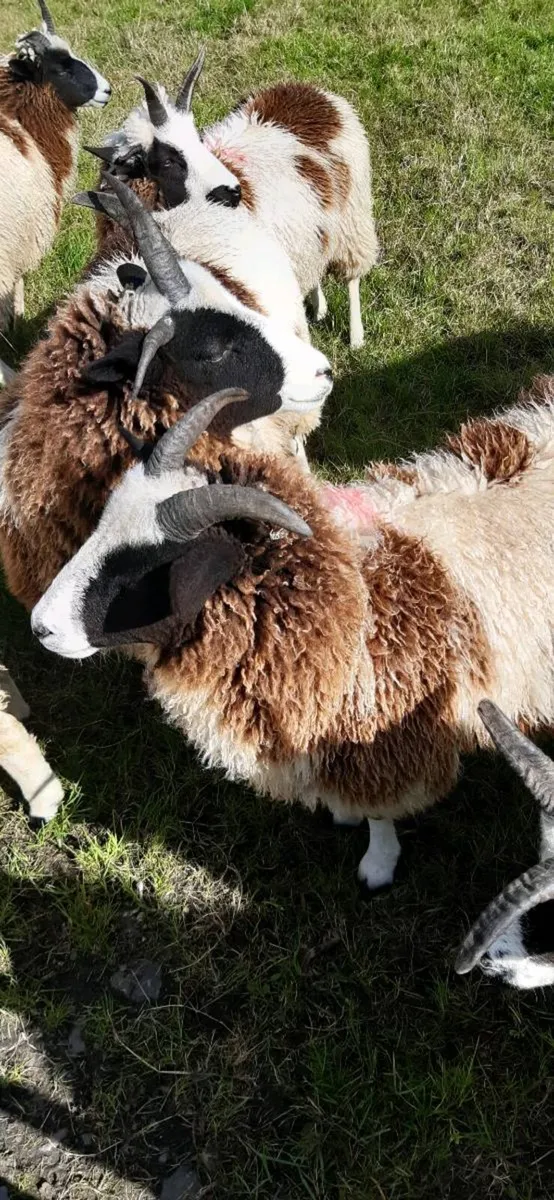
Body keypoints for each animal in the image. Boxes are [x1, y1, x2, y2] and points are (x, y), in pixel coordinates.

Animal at [28, 350, 554, 897]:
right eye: (103, 522)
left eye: (154, 564)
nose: (40, 626)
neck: (353, 596)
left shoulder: (383, 737)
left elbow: (380, 813)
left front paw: (377, 863)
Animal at [90, 53, 378, 347]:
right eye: (168, 161)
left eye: (197, 140)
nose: (232, 191)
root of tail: (308, 90)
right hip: (313, 231)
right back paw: (319, 307)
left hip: (354, 217)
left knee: (353, 277)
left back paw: (356, 336)